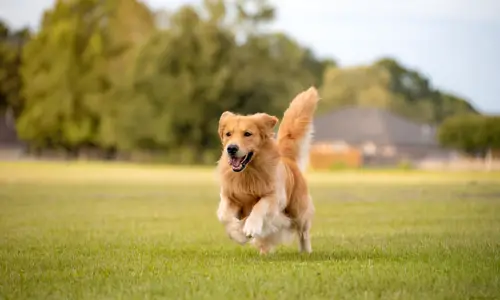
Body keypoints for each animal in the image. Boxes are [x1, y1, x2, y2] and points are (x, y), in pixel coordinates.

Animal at [216, 85, 318, 254]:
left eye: (247, 134)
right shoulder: (229, 196)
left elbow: (260, 206)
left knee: (304, 231)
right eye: (228, 134)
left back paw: (306, 251)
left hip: (298, 210)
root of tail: (288, 159)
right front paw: (238, 234)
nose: (231, 148)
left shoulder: (274, 196)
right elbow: (224, 216)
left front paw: (250, 226)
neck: (247, 173)